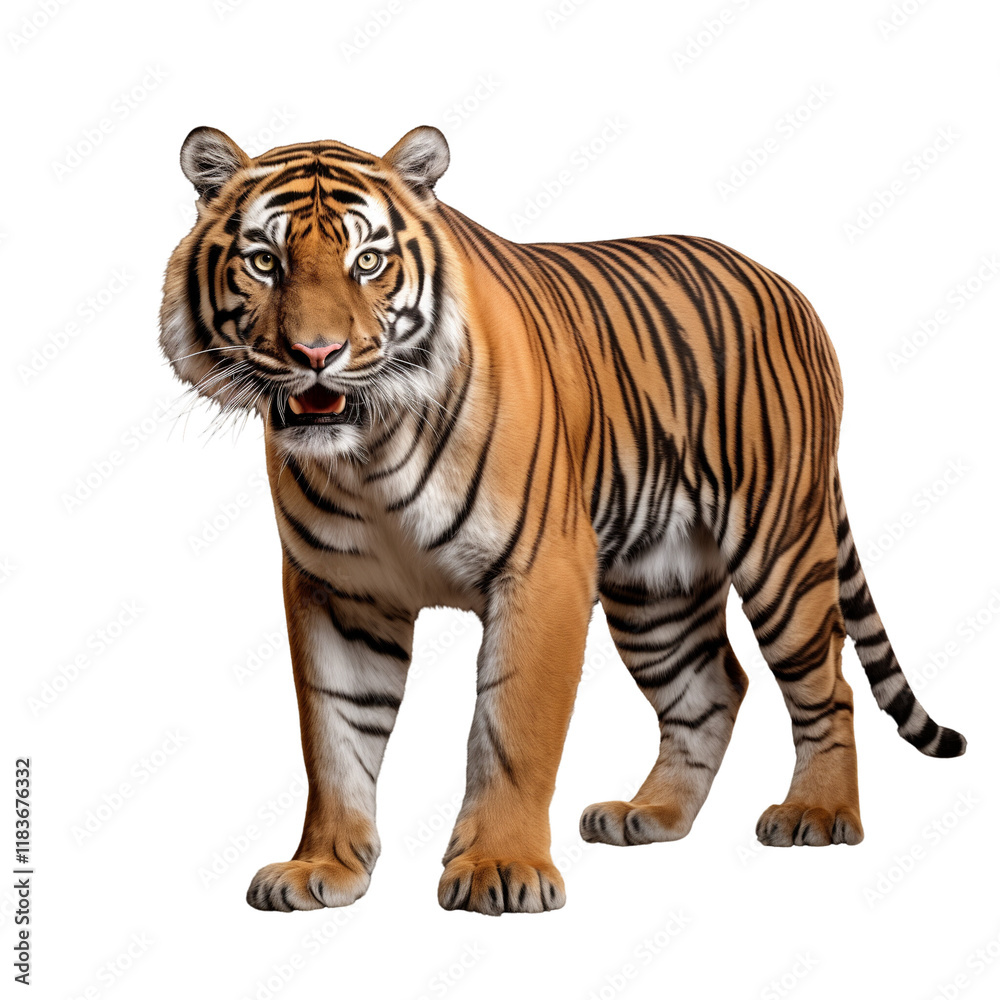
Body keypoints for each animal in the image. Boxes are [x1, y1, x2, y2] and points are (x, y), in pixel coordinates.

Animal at [160, 124, 966, 916]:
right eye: (265, 261)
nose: (317, 354)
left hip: (781, 550)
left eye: (368, 262)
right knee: (713, 686)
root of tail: (783, 283)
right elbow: (333, 738)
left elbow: (513, 726)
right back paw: (651, 815)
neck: (368, 453)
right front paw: (322, 866)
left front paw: (500, 868)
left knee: (827, 685)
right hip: (656, 588)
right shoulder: (337, 591)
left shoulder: (542, 570)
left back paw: (818, 814)